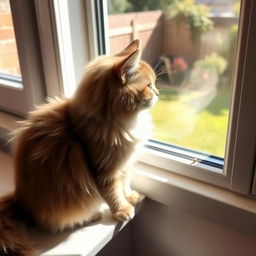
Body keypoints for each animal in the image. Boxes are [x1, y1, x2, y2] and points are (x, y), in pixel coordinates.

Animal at [0, 39, 159, 255]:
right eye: (149, 86)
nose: (158, 93)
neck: (113, 123)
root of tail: (20, 200)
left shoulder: (125, 164)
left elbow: (125, 183)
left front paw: (130, 197)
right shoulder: (104, 171)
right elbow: (113, 193)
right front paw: (122, 210)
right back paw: (92, 215)